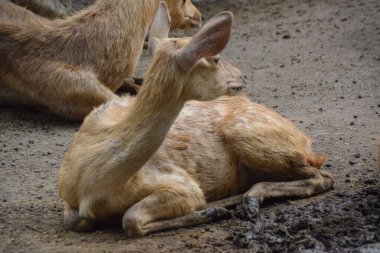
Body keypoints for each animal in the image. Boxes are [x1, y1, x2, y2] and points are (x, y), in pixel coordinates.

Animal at [58, 1, 334, 238]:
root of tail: (305, 141)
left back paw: (245, 201)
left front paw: (210, 211)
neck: (96, 185)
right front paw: (212, 211)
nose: (243, 76)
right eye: (216, 58)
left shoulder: (182, 184)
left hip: (253, 139)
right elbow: (77, 221)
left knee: (322, 177)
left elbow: (131, 219)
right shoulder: (67, 196)